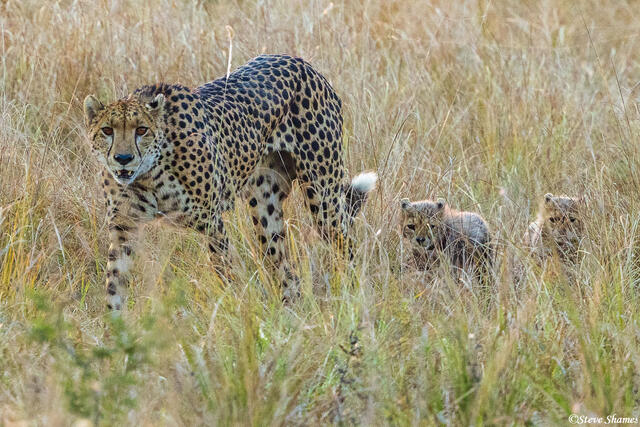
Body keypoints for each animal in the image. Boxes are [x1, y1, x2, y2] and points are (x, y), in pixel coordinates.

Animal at [83, 54, 377, 311]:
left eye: (141, 130)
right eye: (107, 130)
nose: (123, 159)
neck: (150, 172)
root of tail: (301, 62)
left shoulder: (211, 222)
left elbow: (226, 273)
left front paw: (236, 311)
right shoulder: (124, 226)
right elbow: (114, 285)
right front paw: (114, 330)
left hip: (324, 198)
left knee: (346, 249)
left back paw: (353, 300)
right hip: (265, 208)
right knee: (286, 271)